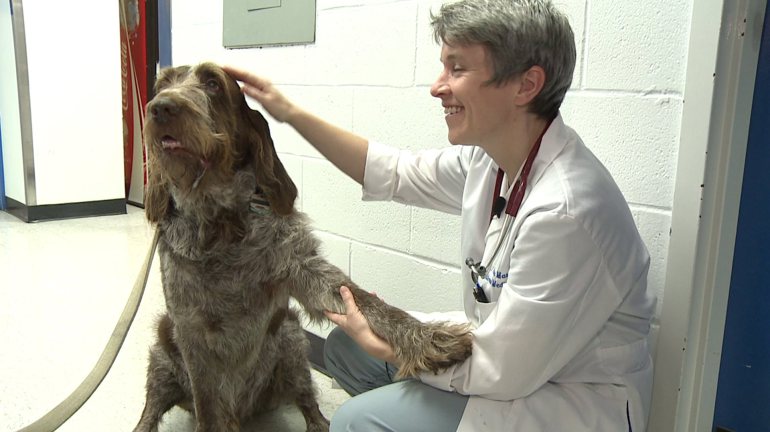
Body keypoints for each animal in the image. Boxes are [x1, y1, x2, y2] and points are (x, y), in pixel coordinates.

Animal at [132, 61, 468, 432]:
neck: (222, 223)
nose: (161, 108)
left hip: (291, 341)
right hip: (161, 357)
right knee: (151, 408)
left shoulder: (301, 268)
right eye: (162, 85)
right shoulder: (190, 331)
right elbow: (206, 407)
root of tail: (242, 412)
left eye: (212, 84)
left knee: (307, 399)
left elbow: (369, 304)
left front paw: (430, 337)